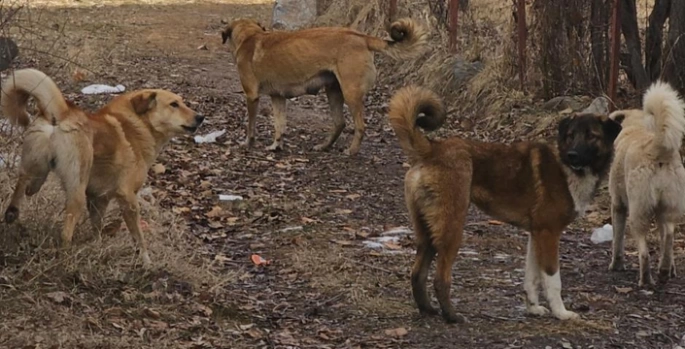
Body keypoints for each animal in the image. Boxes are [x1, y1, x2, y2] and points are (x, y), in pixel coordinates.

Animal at [0, 68, 203, 266]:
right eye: (174, 104)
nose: (201, 117)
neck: (136, 125)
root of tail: (63, 112)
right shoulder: (128, 198)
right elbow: (138, 237)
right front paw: (146, 263)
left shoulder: (99, 198)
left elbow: (97, 227)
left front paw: (97, 248)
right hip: (77, 190)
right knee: (66, 231)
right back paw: (66, 259)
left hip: (35, 174)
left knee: (20, 191)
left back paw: (11, 219)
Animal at [222, 17, 428, 155]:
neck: (250, 36)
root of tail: (361, 36)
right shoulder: (278, 98)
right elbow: (280, 125)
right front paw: (276, 145)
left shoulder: (252, 96)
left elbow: (251, 126)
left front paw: (247, 143)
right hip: (333, 92)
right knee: (340, 123)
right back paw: (324, 146)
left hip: (350, 93)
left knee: (360, 125)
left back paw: (351, 150)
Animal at [388, 85, 624, 322]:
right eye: (570, 136)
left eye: (591, 136)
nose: (572, 154)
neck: (565, 168)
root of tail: (432, 149)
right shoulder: (549, 234)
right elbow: (552, 280)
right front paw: (561, 313)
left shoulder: (537, 234)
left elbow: (531, 278)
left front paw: (533, 308)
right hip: (451, 228)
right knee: (440, 278)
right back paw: (452, 316)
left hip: (427, 230)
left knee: (417, 273)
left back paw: (428, 309)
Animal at [604, 81, 684, 286]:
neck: (635, 127)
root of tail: (657, 148)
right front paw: (671, 270)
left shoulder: (618, 204)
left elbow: (617, 238)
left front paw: (616, 264)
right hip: (668, 207)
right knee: (669, 235)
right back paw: (664, 270)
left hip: (638, 211)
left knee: (644, 252)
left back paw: (646, 279)